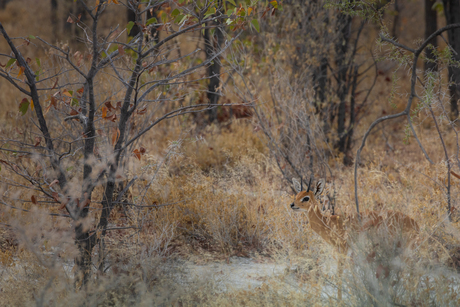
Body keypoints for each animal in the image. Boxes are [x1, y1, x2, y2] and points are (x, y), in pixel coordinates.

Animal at [292, 178, 420, 300]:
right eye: (297, 195)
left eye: (306, 198)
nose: (292, 205)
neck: (329, 223)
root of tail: (415, 224)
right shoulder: (349, 254)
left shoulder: (343, 250)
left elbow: (340, 273)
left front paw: (340, 300)